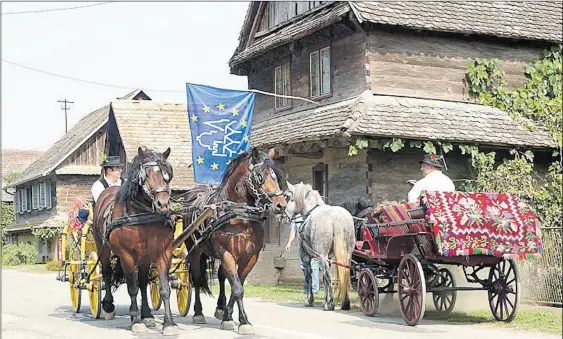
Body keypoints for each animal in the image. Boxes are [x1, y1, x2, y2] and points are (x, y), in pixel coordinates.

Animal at [92, 147, 180, 336]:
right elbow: (132, 287)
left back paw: (147, 314)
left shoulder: (163, 253)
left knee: (143, 283)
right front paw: (136, 321)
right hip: (102, 247)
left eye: (167, 174)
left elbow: (163, 288)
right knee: (107, 273)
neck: (142, 215)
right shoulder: (126, 256)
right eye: (146, 174)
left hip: (145, 257)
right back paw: (109, 306)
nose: (162, 204)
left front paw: (169, 323)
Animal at [182, 147, 288, 336]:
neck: (239, 214)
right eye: (260, 176)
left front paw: (230, 317)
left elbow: (237, 285)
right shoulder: (227, 254)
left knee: (221, 277)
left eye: (276, 176)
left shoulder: (251, 256)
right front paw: (243, 321)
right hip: (194, 250)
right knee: (196, 279)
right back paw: (198, 313)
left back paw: (220, 308)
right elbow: (237, 288)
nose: (281, 205)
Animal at [284, 182, 354, 312]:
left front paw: (310, 300)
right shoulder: (329, 258)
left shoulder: (306, 257)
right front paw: (324, 300)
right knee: (344, 273)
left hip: (321, 256)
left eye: (287, 196)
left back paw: (330, 304)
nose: (284, 215)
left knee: (327, 276)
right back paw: (344, 303)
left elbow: (309, 277)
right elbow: (324, 281)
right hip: (347, 255)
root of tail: (335, 217)